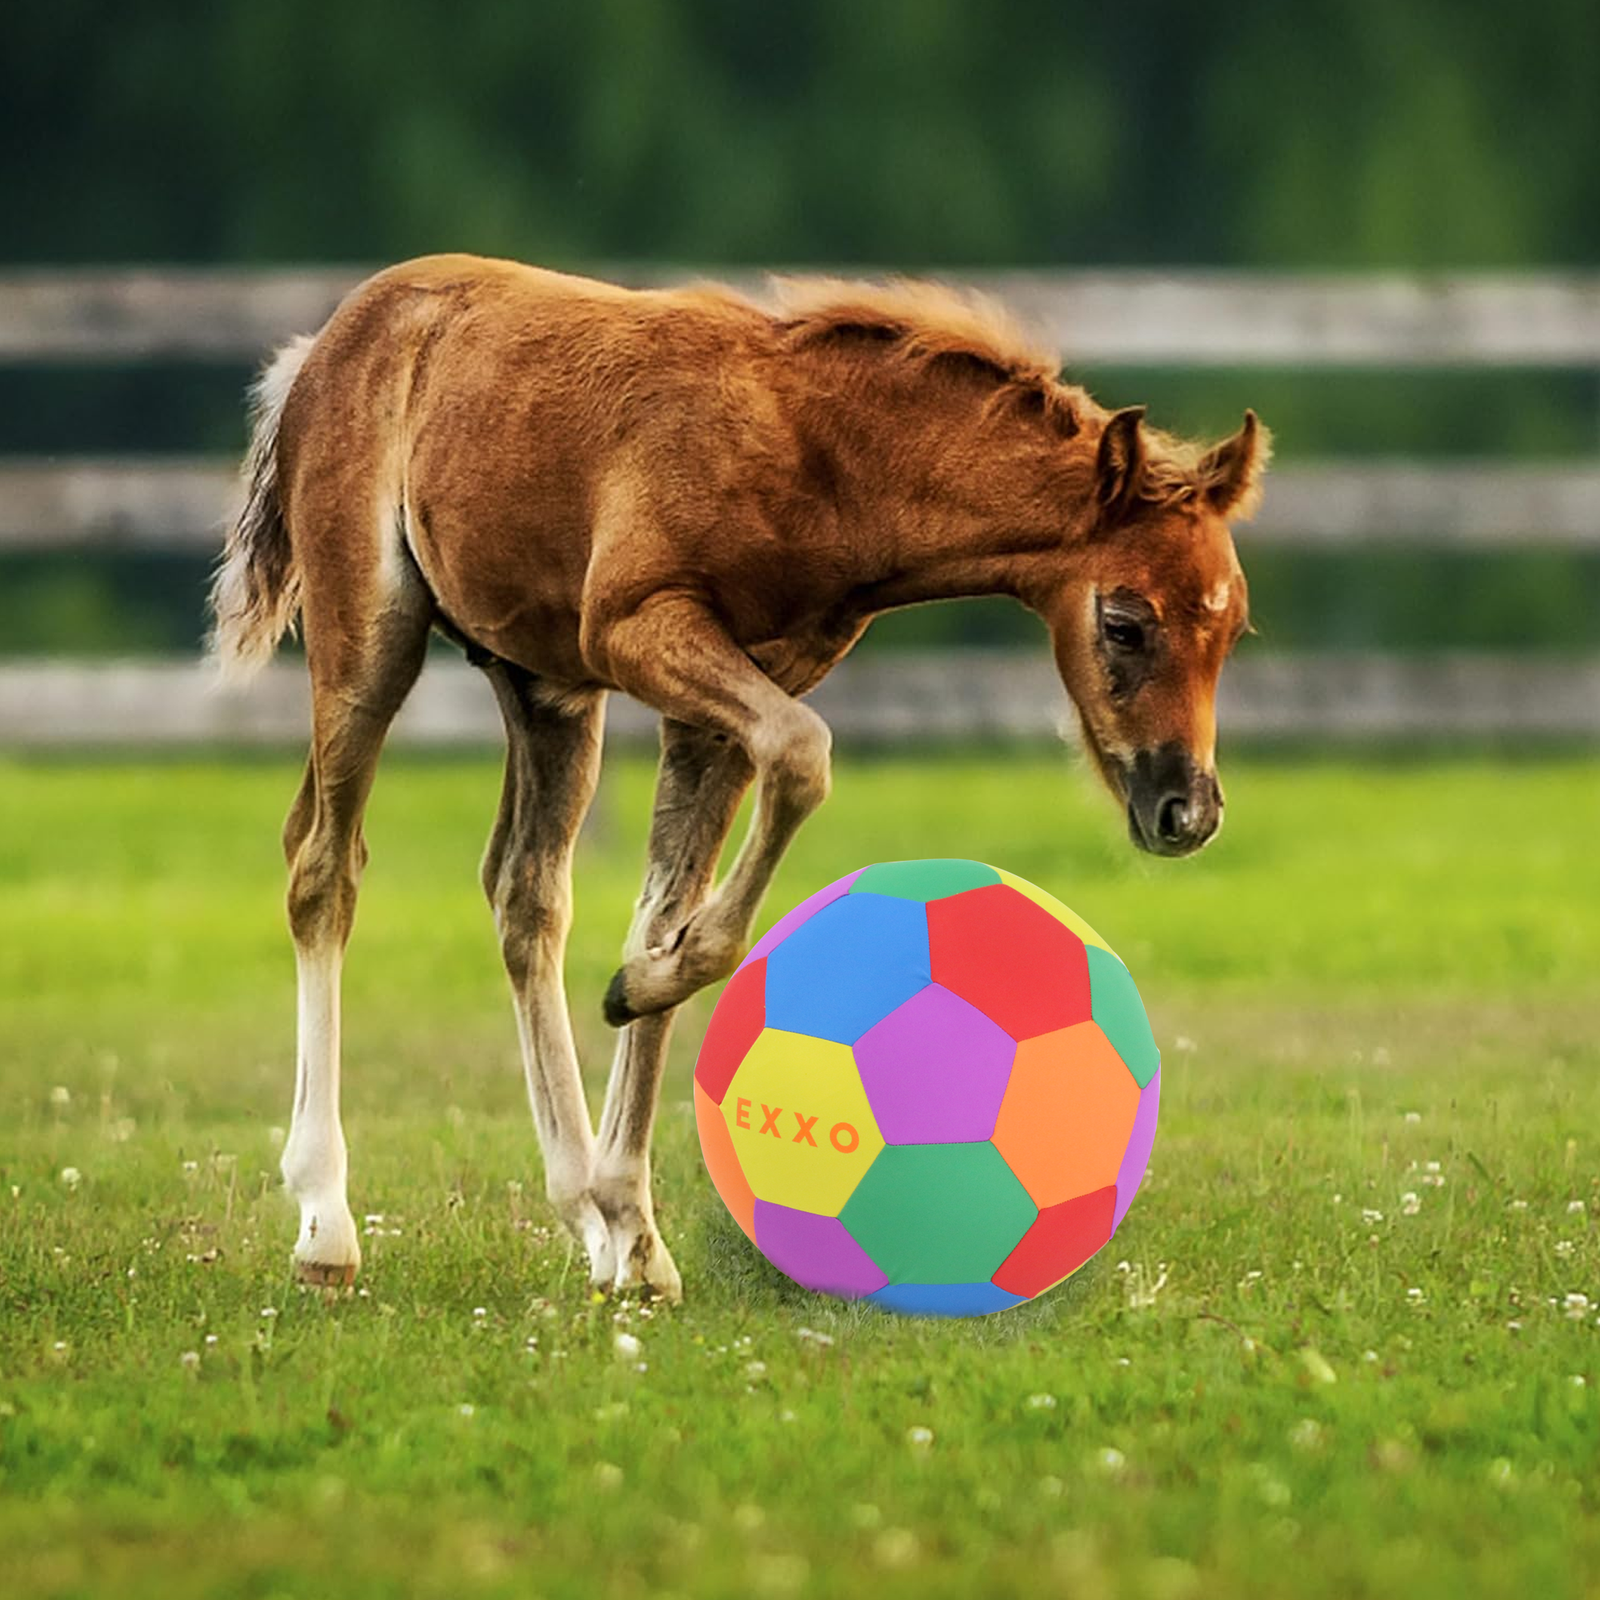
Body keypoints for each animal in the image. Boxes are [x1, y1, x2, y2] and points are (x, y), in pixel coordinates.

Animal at [208, 254, 1268, 1301]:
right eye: (1125, 623)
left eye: (1232, 631)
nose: (1188, 810)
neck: (821, 458)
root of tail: (325, 343)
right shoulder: (640, 627)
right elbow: (802, 758)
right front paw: (638, 999)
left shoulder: (721, 703)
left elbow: (665, 909)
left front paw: (634, 1219)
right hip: (371, 631)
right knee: (323, 866)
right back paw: (327, 1224)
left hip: (546, 686)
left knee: (524, 893)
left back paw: (580, 1210)